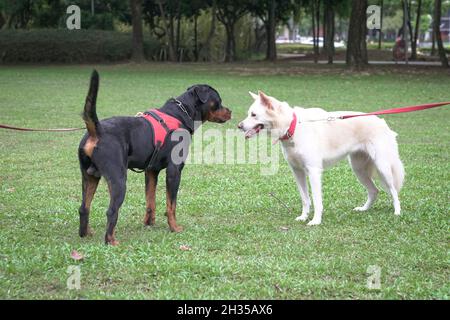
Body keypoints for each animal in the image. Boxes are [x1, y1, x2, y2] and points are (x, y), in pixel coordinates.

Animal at [78, 70, 232, 245]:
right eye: (219, 101)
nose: (230, 112)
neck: (182, 113)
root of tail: (96, 130)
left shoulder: (151, 171)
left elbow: (150, 201)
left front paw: (149, 223)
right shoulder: (174, 170)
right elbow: (171, 204)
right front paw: (174, 227)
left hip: (90, 176)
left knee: (83, 207)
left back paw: (85, 233)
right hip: (118, 179)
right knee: (111, 211)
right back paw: (112, 241)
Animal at [239, 90, 404, 225]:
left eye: (253, 115)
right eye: (249, 114)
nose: (239, 126)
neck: (293, 127)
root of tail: (382, 122)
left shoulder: (313, 172)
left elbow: (317, 200)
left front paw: (316, 221)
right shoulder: (297, 172)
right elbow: (305, 199)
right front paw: (304, 217)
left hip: (382, 167)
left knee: (394, 191)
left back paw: (397, 212)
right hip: (358, 170)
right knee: (374, 191)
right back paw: (364, 209)